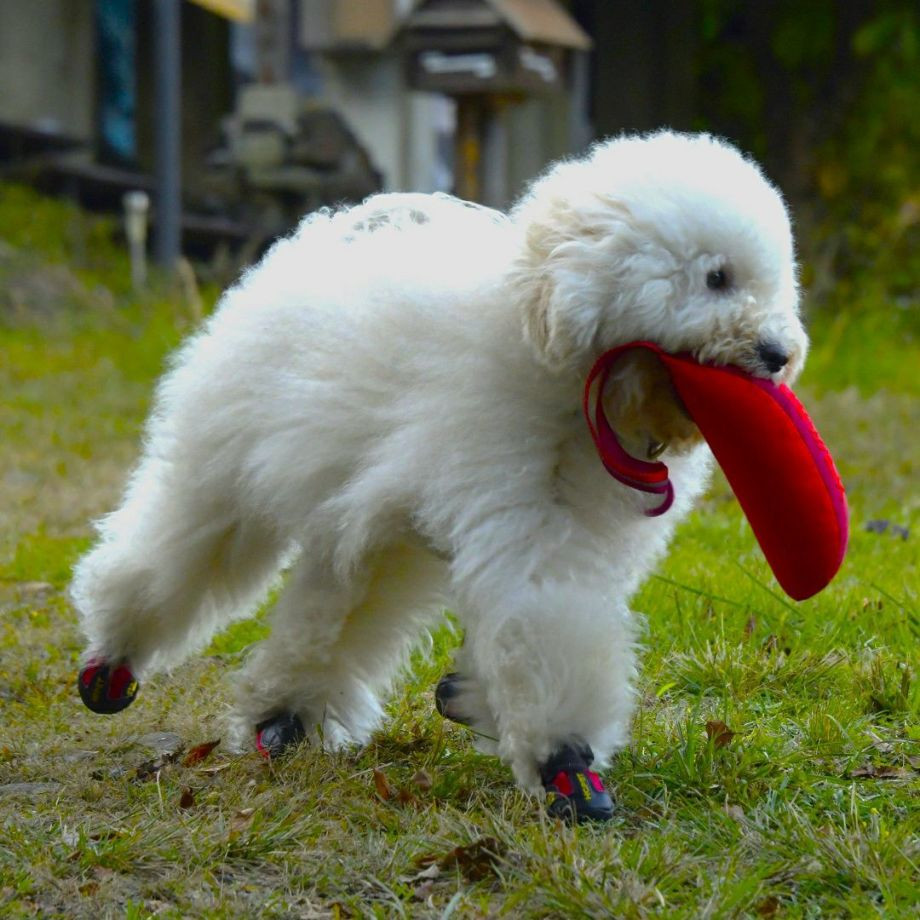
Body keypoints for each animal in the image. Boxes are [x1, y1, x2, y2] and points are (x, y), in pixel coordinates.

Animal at [72, 129, 804, 820]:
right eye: (716, 277)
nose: (777, 353)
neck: (546, 349)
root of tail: (319, 239)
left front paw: (478, 703)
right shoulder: (522, 520)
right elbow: (546, 622)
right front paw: (566, 765)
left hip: (366, 531)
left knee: (328, 612)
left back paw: (281, 717)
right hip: (223, 468)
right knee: (177, 551)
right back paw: (112, 662)